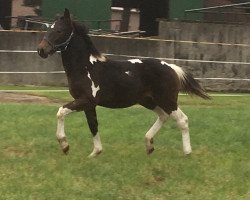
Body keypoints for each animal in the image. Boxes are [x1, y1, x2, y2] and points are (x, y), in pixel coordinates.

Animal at [36, 9, 209, 158]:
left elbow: (61, 111)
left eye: (59, 30)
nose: (41, 50)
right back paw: (149, 145)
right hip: (148, 100)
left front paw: (65, 145)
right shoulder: (88, 104)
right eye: (48, 29)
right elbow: (93, 125)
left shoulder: (86, 100)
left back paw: (187, 152)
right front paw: (95, 153)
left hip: (167, 100)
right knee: (163, 116)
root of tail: (172, 68)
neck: (86, 68)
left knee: (182, 120)